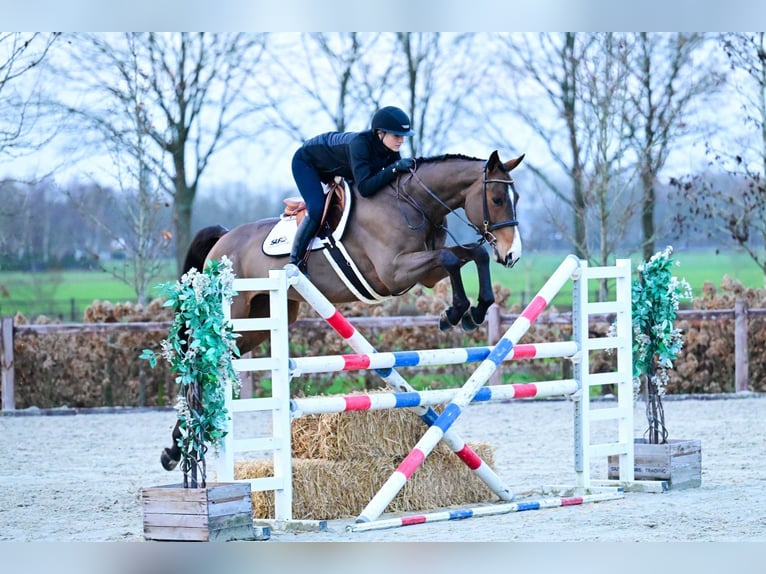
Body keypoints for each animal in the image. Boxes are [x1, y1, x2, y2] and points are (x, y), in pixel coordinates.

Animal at [160, 150, 524, 470]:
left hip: (258, 324)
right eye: (496, 199)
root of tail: (223, 239)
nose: (512, 255)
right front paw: (457, 312)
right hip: (233, 315)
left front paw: (474, 311)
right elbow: (452, 258)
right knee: (198, 358)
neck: (413, 203)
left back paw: (178, 446)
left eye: (516, 197)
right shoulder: (395, 272)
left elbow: (471, 255)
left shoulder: (427, 274)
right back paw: (180, 445)